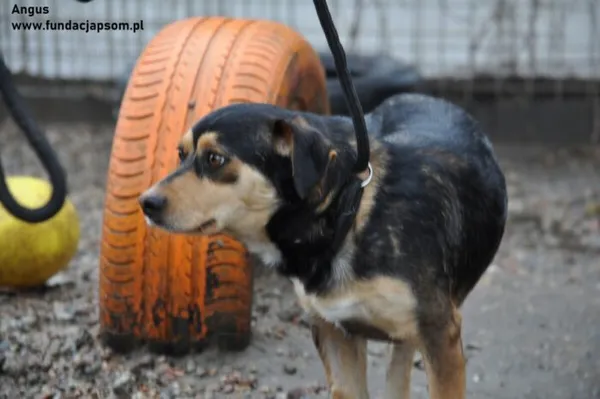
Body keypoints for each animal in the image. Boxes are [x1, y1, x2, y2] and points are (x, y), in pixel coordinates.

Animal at [139, 92, 506, 398]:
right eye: (181, 154)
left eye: (215, 159)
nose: (146, 202)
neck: (349, 212)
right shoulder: (333, 331)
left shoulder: (440, 335)